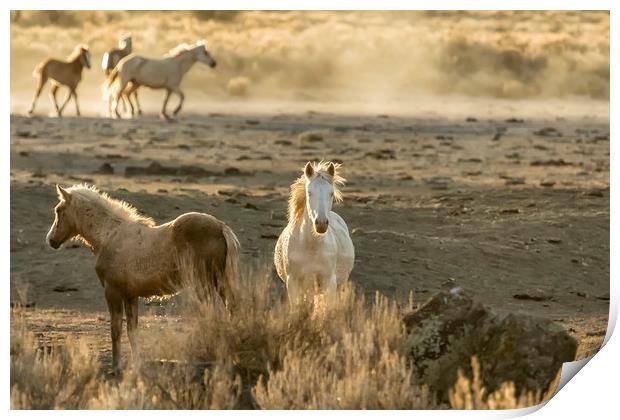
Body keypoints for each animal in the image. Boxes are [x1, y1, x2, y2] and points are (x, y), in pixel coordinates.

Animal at [45, 185, 240, 370]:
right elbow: (132, 330)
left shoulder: (112, 292)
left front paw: (116, 365)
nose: (51, 240)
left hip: (204, 284)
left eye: (58, 210)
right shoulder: (131, 295)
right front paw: (137, 362)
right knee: (231, 310)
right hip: (219, 283)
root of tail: (221, 226)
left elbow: (116, 329)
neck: (109, 235)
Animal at [274, 162, 356, 306]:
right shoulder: (293, 283)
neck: (311, 247)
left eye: (331, 193)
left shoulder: (330, 283)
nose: (321, 223)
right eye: (309, 192)